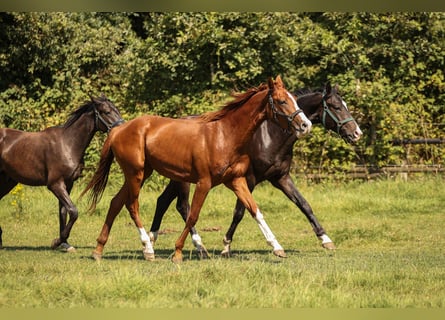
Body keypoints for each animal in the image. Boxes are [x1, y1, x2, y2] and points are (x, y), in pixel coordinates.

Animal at [0, 96, 122, 251]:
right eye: (106, 112)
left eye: (117, 110)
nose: (122, 128)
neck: (68, 144)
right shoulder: (55, 184)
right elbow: (73, 211)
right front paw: (58, 241)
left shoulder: (68, 184)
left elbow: (63, 211)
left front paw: (64, 243)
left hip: (7, 182)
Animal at [84, 75, 312, 262]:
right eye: (282, 101)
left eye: (295, 99)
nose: (306, 125)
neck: (225, 136)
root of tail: (118, 130)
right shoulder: (204, 182)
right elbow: (193, 214)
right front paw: (178, 252)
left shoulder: (237, 181)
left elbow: (255, 211)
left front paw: (277, 247)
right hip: (136, 174)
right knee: (132, 205)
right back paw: (148, 249)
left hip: (140, 173)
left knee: (116, 203)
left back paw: (98, 250)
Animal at [147, 82, 362, 258]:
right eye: (336, 107)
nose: (357, 133)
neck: (270, 135)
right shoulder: (249, 179)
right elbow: (240, 212)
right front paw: (226, 245)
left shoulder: (281, 178)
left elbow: (304, 204)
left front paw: (325, 239)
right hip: (184, 179)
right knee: (182, 206)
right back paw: (192, 246)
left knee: (163, 201)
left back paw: (155, 240)